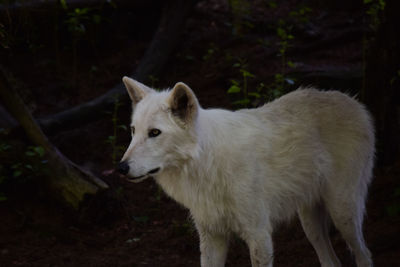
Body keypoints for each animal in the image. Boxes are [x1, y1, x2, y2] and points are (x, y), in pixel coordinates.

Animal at [117, 76, 374, 266]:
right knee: (332, 261)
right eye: (133, 130)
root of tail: (352, 101)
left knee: (365, 255)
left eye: (154, 133)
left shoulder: (259, 234)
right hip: (310, 224)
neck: (208, 164)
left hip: (343, 213)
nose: (120, 167)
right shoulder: (212, 237)